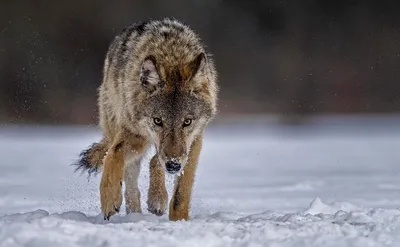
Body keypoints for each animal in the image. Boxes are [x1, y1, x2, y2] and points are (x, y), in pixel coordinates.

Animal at [75, 17, 219, 222]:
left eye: (187, 122)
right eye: (158, 121)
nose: (173, 165)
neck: (171, 54)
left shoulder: (194, 140)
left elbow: (182, 191)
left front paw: (179, 220)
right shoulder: (132, 133)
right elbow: (113, 154)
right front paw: (110, 198)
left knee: (153, 160)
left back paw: (156, 200)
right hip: (131, 135)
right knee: (130, 174)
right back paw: (135, 212)